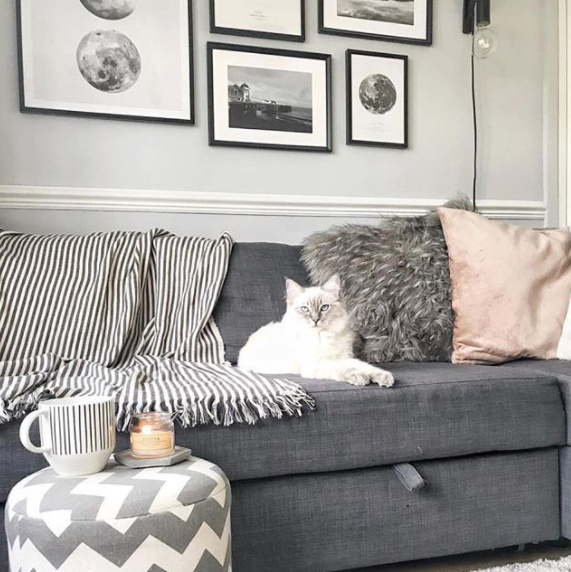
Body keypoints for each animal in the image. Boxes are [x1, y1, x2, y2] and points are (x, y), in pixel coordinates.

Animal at [238, 275, 395, 388]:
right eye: (305, 309)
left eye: (324, 308)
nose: (315, 320)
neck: (323, 336)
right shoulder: (317, 364)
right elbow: (344, 369)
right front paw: (360, 377)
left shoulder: (343, 358)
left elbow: (365, 366)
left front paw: (384, 377)